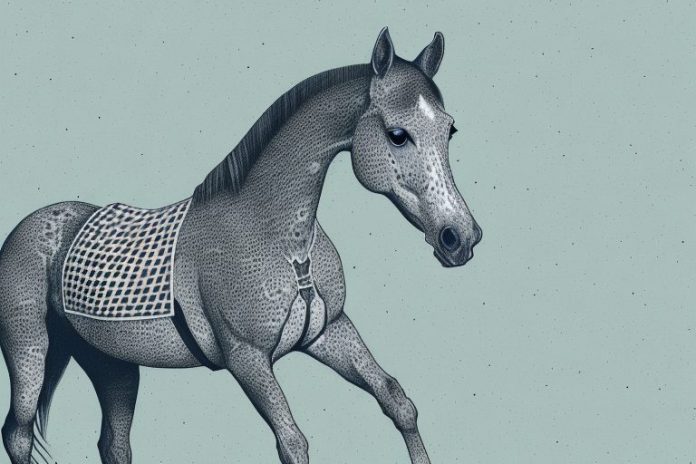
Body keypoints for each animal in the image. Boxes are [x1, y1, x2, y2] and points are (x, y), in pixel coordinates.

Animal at [0, 27, 482, 464]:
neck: (282, 238)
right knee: (18, 434)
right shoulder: (246, 358)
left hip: (112, 364)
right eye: (398, 134)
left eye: (451, 130)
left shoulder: (331, 330)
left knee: (113, 444)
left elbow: (397, 401)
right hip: (29, 351)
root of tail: (30, 225)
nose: (460, 238)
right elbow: (293, 442)